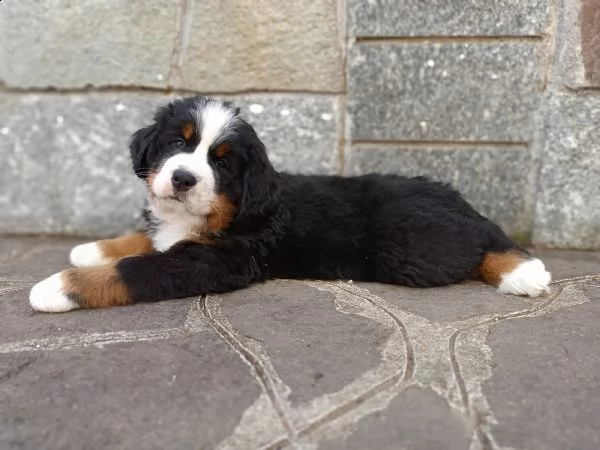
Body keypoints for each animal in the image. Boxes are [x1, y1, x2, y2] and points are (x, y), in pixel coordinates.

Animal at [30, 96, 552, 312]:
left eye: (222, 163)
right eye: (177, 143)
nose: (182, 178)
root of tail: (453, 196)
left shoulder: (217, 260)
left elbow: (137, 270)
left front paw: (59, 286)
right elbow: (143, 239)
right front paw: (92, 249)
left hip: (412, 246)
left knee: (477, 244)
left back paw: (521, 272)